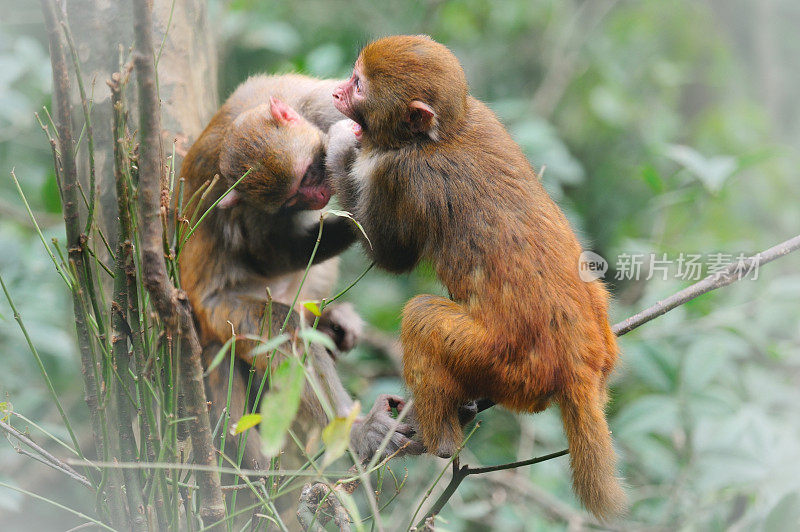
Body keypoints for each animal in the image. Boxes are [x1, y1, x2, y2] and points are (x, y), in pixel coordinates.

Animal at [178, 72, 422, 464]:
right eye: (293, 197)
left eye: (309, 174)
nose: (320, 197)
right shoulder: (249, 207)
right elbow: (269, 255)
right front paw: (350, 223)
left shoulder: (316, 105)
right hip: (219, 312)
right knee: (283, 327)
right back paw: (355, 430)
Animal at [328, 36, 628, 520]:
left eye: (357, 84)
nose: (336, 92)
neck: (442, 134)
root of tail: (576, 365)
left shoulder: (397, 172)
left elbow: (390, 256)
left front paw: (338, 145)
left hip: (499, 362)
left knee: (423, 316)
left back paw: (436, 441)